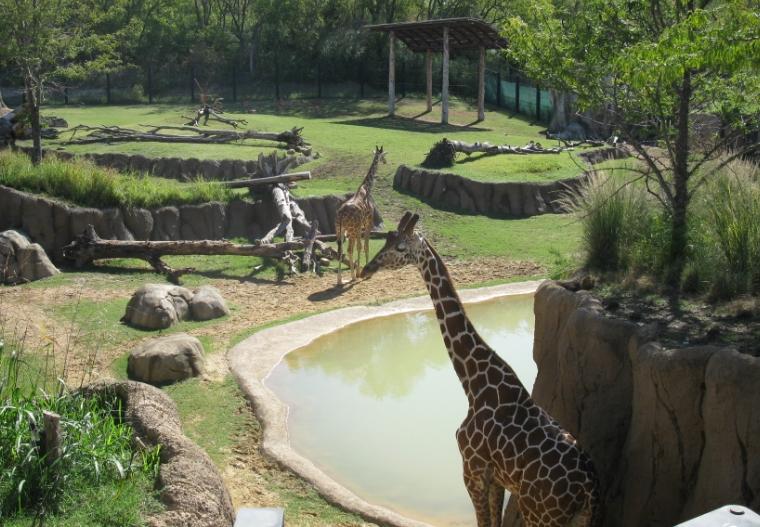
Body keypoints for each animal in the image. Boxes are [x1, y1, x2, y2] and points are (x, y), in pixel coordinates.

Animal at [336, 144, 388, 284]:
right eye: (383, 155)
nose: (385, 162)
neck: (367, 188)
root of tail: (341, 215)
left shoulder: (359, 227)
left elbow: (359, 246)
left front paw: (359, 271)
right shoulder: (368, 223)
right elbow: (365, 246)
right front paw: (364, 273)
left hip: (340, 230)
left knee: (341, 250)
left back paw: (340, 280)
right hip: (351, 230)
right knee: (349, 249)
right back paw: (353, 277)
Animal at [360, 211, 600, 527]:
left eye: (400, 247)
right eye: (387, 238)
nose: (366, 269)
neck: (474, 385)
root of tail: (588, 487)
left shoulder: (472, 471)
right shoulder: (496, 479)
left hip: (540, 513)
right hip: (580, 517)